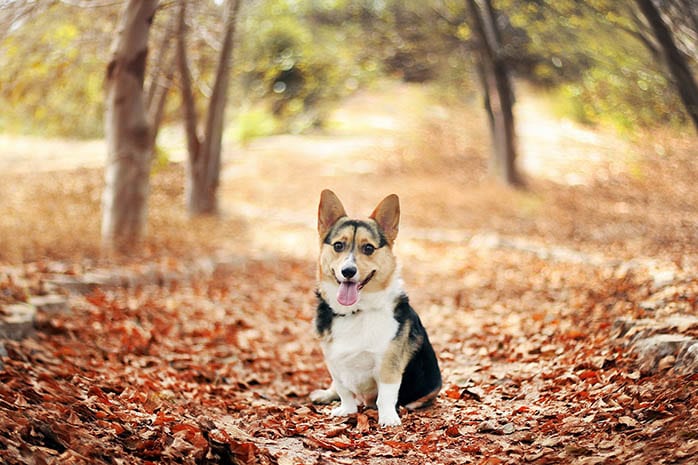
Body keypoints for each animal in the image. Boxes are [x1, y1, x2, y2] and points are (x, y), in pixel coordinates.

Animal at [310, 189, 440, 428]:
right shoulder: (334, 362)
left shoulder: (388, 364)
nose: (348, 271)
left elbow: (386, 396)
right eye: (338, 246)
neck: (356, 311)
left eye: (368, 248)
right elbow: (343, 390)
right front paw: (346, 410)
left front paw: (388, 418)